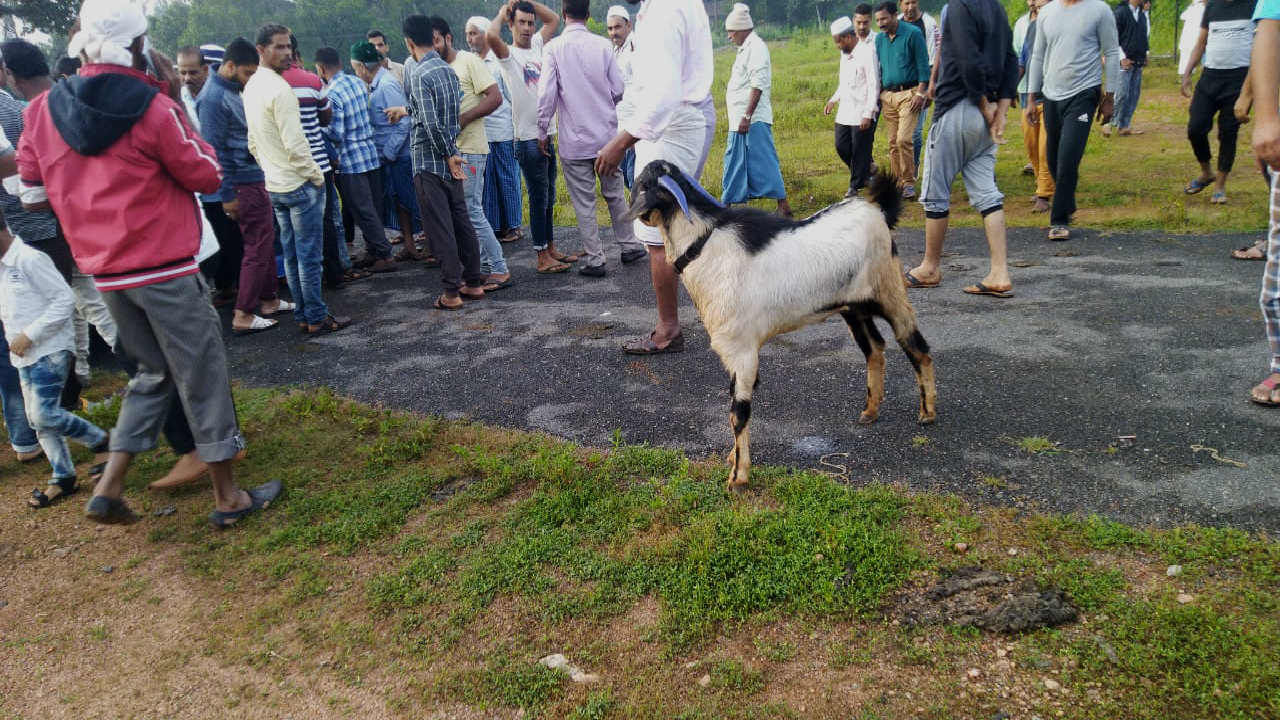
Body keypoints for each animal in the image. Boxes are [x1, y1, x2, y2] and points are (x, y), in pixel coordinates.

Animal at [632, 160, 942, 489]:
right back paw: (870, 411)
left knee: (915, 344)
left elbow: (738, 412)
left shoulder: (742, 350)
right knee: (875, 348)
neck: (705, 246)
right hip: (853, 306)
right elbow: (734, 406)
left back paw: (927, 412)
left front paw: (738, 477)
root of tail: (878, 210)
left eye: (640, 184)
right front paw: (733, 458)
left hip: (890, 290)